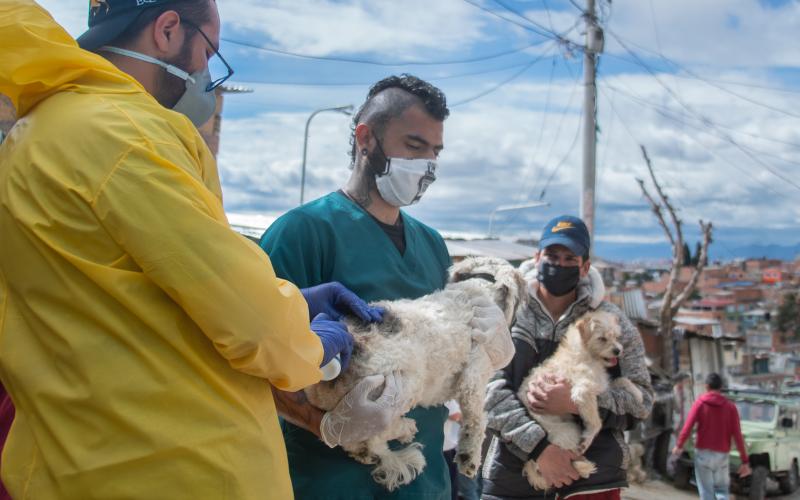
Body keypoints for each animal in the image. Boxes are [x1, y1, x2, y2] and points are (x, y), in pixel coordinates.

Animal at [304, 256, 524, 490]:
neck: (477, 290)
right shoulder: (473, 377)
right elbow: (476, 420)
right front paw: (469, 458)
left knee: (347, 438)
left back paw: (363, 451)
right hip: (396, 388)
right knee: (374, 436)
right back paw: (404, 429)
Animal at [520, 310, 644, 490]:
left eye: (616, 337)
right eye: (602, 338)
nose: (618, 350)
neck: (587, 356)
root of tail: (529, 464)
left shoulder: (602, 386)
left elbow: (622, 380)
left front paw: (638, 394)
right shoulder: (582, 391)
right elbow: (597, 422)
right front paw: (588, 438)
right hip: (568, 432)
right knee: (558, 461)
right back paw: (583, 465)